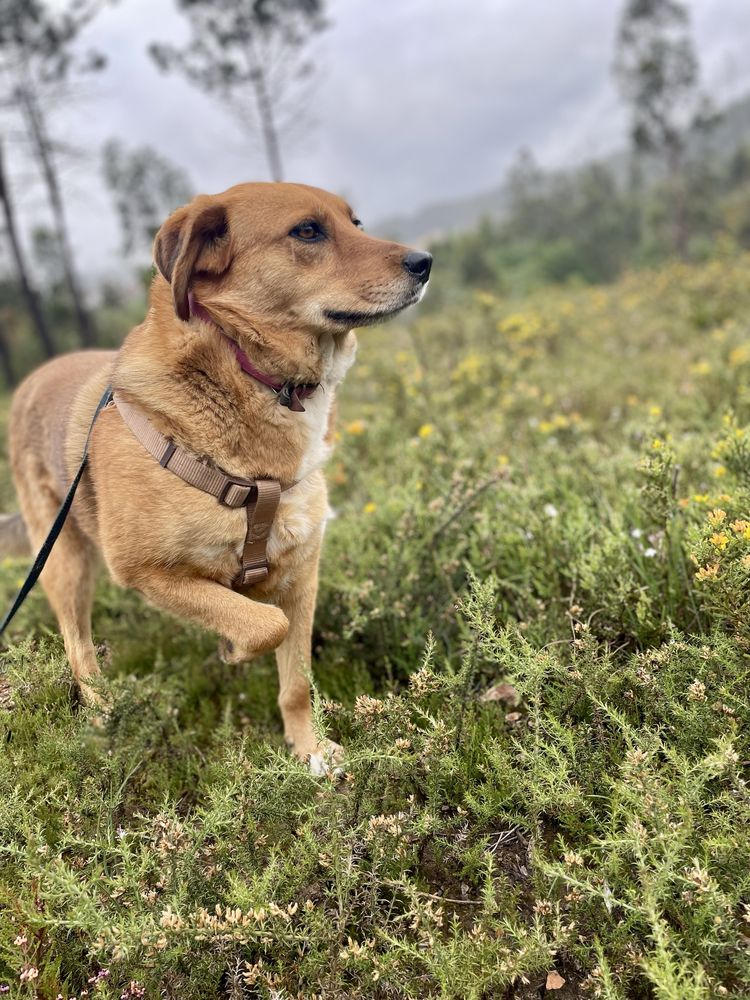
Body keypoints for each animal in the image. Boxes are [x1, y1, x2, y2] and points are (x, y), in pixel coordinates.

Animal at [0, 184, 432, 768]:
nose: (425, 262)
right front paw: (235, 646)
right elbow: (264, 624)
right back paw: (101, 716)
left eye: (355, 223)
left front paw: (308, 749)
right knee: (78, 646)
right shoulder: (147, 572)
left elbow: (295, 680)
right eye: (307, 231)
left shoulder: (301, 577)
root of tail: (30, 380)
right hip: (65, 564)